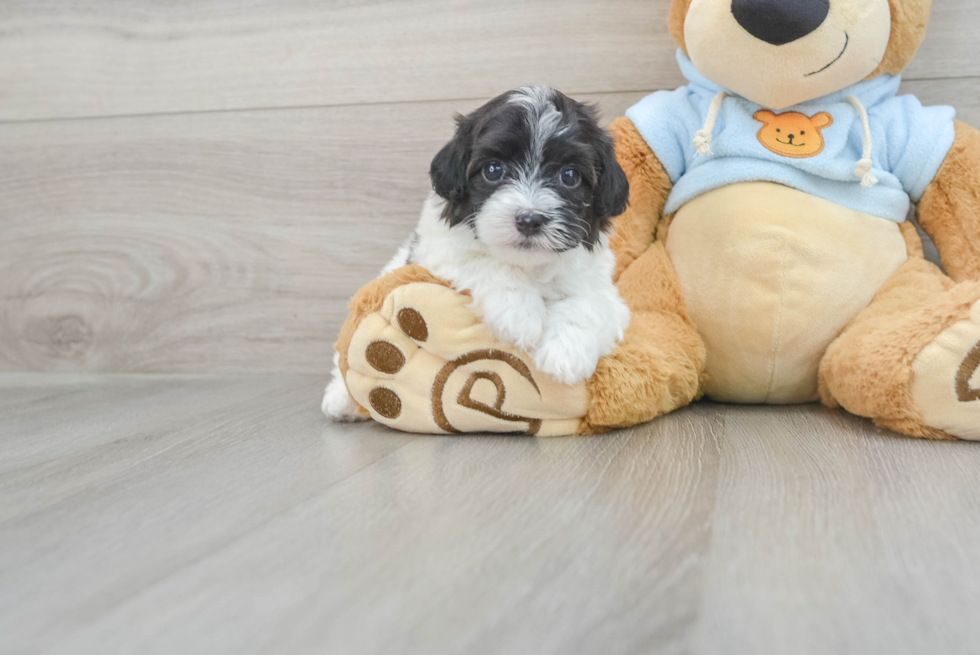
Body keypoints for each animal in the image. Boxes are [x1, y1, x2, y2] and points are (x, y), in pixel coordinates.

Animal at [324, 87, 628, 422]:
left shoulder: (603, 290)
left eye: (570, 176)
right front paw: (520, 314)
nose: (529, 219)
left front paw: (566, 354)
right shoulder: (440, 255)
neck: (528, 266)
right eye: (493, 170)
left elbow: (589, 305)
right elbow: (485, 262)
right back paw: (340, 399)